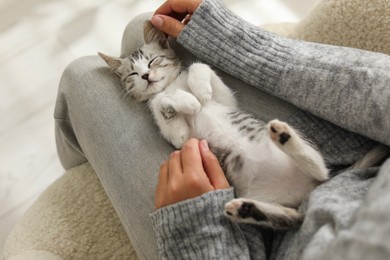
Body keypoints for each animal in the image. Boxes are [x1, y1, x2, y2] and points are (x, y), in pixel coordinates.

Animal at [99, 20, 330, 228]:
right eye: (133, 74)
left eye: (152, 61)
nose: (146, 76)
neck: (172, 86)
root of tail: (303, 190)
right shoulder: (179, 137)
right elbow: (163, 110)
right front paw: (188, 104)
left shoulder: (225, 100)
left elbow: (199, 66)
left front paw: (199, 91)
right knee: (292, 215)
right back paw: (245, 209)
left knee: (319, 167)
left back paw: (283, 135)